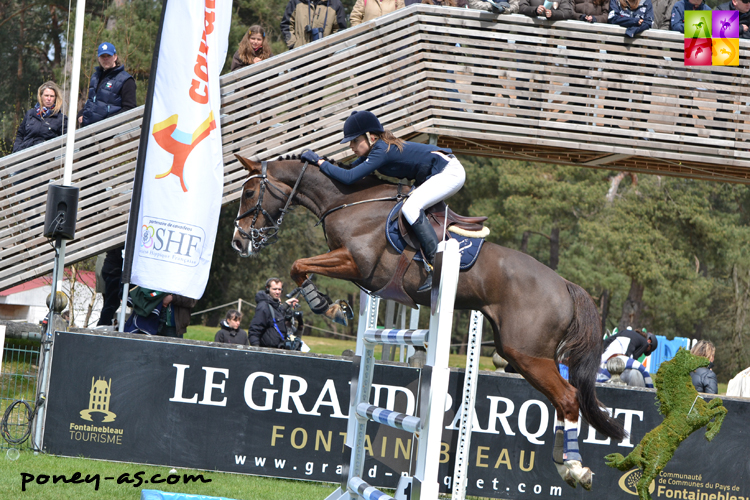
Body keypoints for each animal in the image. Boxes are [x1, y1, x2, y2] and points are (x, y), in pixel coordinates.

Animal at [232, 153, 624, 488]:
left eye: (250, 192)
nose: (238, 242)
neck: (349, 202)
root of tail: (565, 285)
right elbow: (301, 267)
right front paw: (333, 307)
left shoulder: (355, 262)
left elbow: (299, 265)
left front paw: (325, 306)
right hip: (524, 354)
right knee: (562, 399)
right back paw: (564, 464)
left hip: (527, 354)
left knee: (569, 397)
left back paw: (575, 468)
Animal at [604, 348, 728, 500]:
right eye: (691, 357)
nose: (709, 362)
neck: (684, 400)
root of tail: (641, 445)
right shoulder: (701, 418)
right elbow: (721, 410)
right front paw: (710, 434)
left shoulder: (705, 411)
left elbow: (718, 403)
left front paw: (710, 429)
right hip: (657, 461)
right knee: (642, 484)